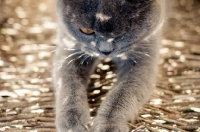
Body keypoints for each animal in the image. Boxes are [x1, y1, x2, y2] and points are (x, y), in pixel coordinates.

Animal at [52, 0, 167, 131]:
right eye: (86, 31)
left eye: (123, 33)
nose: (105, 51)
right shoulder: (69, 46)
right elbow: (68, 83)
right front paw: (72, 121)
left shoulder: (144, 55)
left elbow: (124, 91)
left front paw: (109, 124)